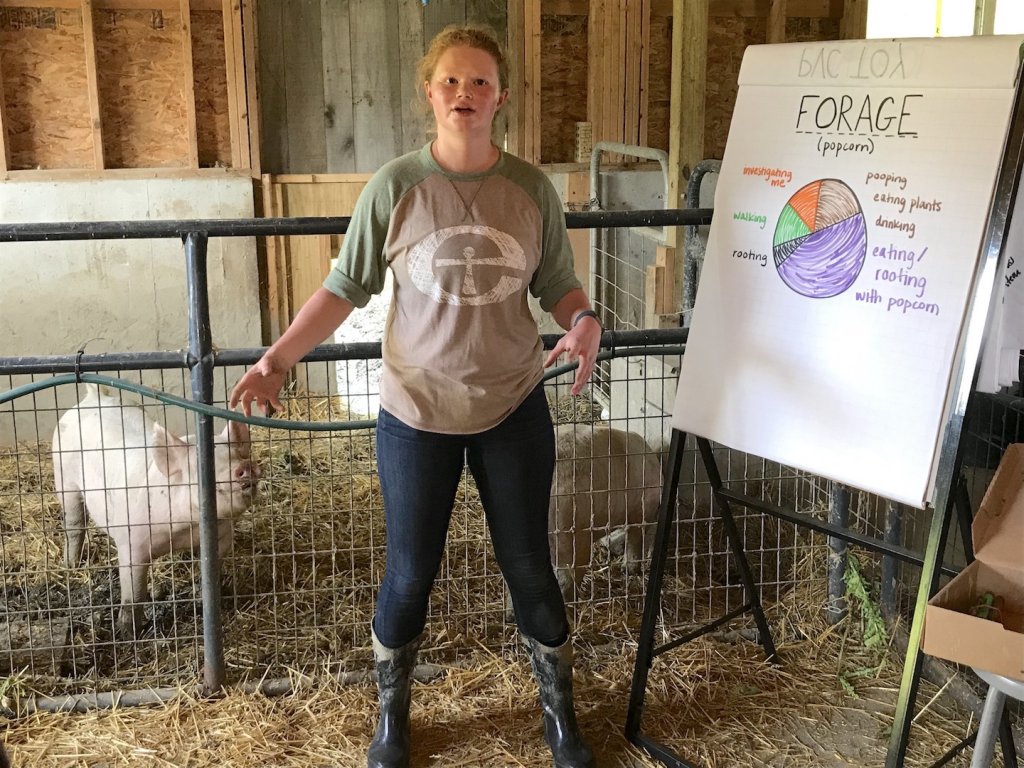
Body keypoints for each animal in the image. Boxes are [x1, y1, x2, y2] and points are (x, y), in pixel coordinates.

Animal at [51, 385, 260, 638]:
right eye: (201, 467)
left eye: (237, 455)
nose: (245, 466)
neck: (184, 529)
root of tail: (93, 396)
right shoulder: (132, 544)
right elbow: (134, 594)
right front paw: (128, 634)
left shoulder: (222, 537)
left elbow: (210, 572)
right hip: (64, 478)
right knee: (74, 524)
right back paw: (72, 565)